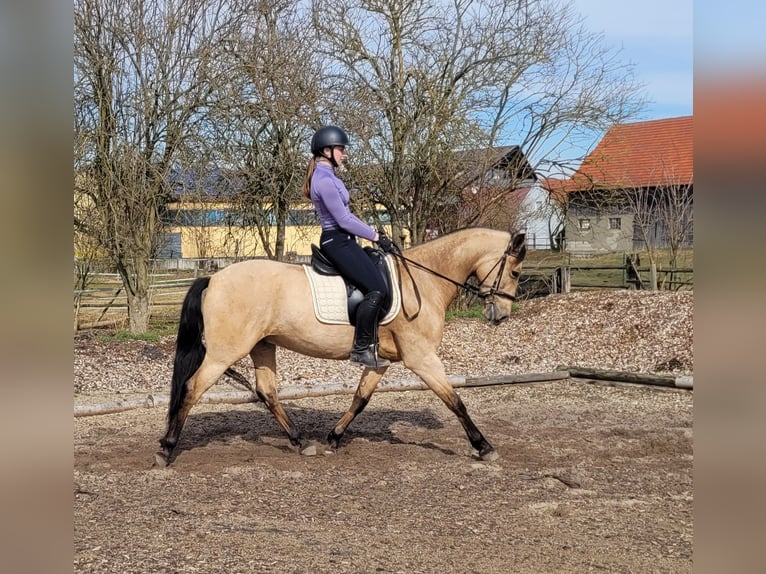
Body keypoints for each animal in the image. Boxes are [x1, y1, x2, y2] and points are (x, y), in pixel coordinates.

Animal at [156, 227, 528, 466]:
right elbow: (456, 401)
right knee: (192, 388)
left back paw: (301, 442)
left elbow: (360, 399)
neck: (422, 281)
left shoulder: (381, 362)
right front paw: (484, 446)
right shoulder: (422, 359)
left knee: (267, 392)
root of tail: (215, 278)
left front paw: (334, 437)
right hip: (225, 353)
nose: (501, 315)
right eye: (514, 271)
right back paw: (167, 450)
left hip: (262, 346)